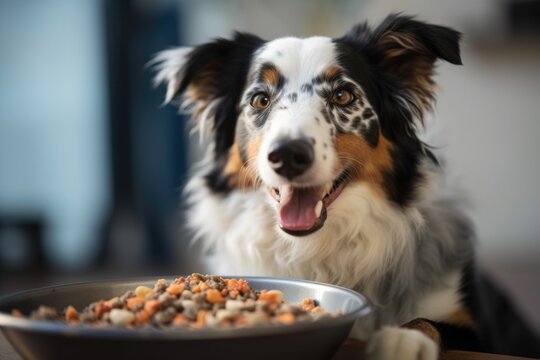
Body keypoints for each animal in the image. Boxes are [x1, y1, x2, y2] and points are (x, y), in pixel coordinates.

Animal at [151, 14, 540, 360]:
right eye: (260, 99)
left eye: (343, 96)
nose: (288, 155)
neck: (317, 248)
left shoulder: (477, 327)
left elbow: (431, 321)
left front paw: (403, 339)